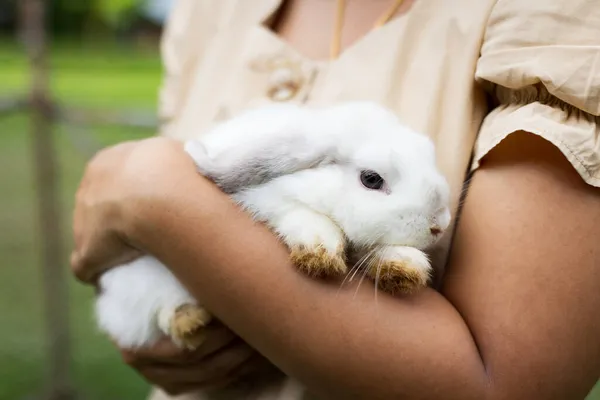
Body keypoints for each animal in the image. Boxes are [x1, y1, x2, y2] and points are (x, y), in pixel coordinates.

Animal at [94, 101, 450, 350]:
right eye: (371, 179)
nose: (439, 225)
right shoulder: (266, 201)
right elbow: (301, 215)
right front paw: (319, 251)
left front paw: (404, 267)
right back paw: (188, 321)